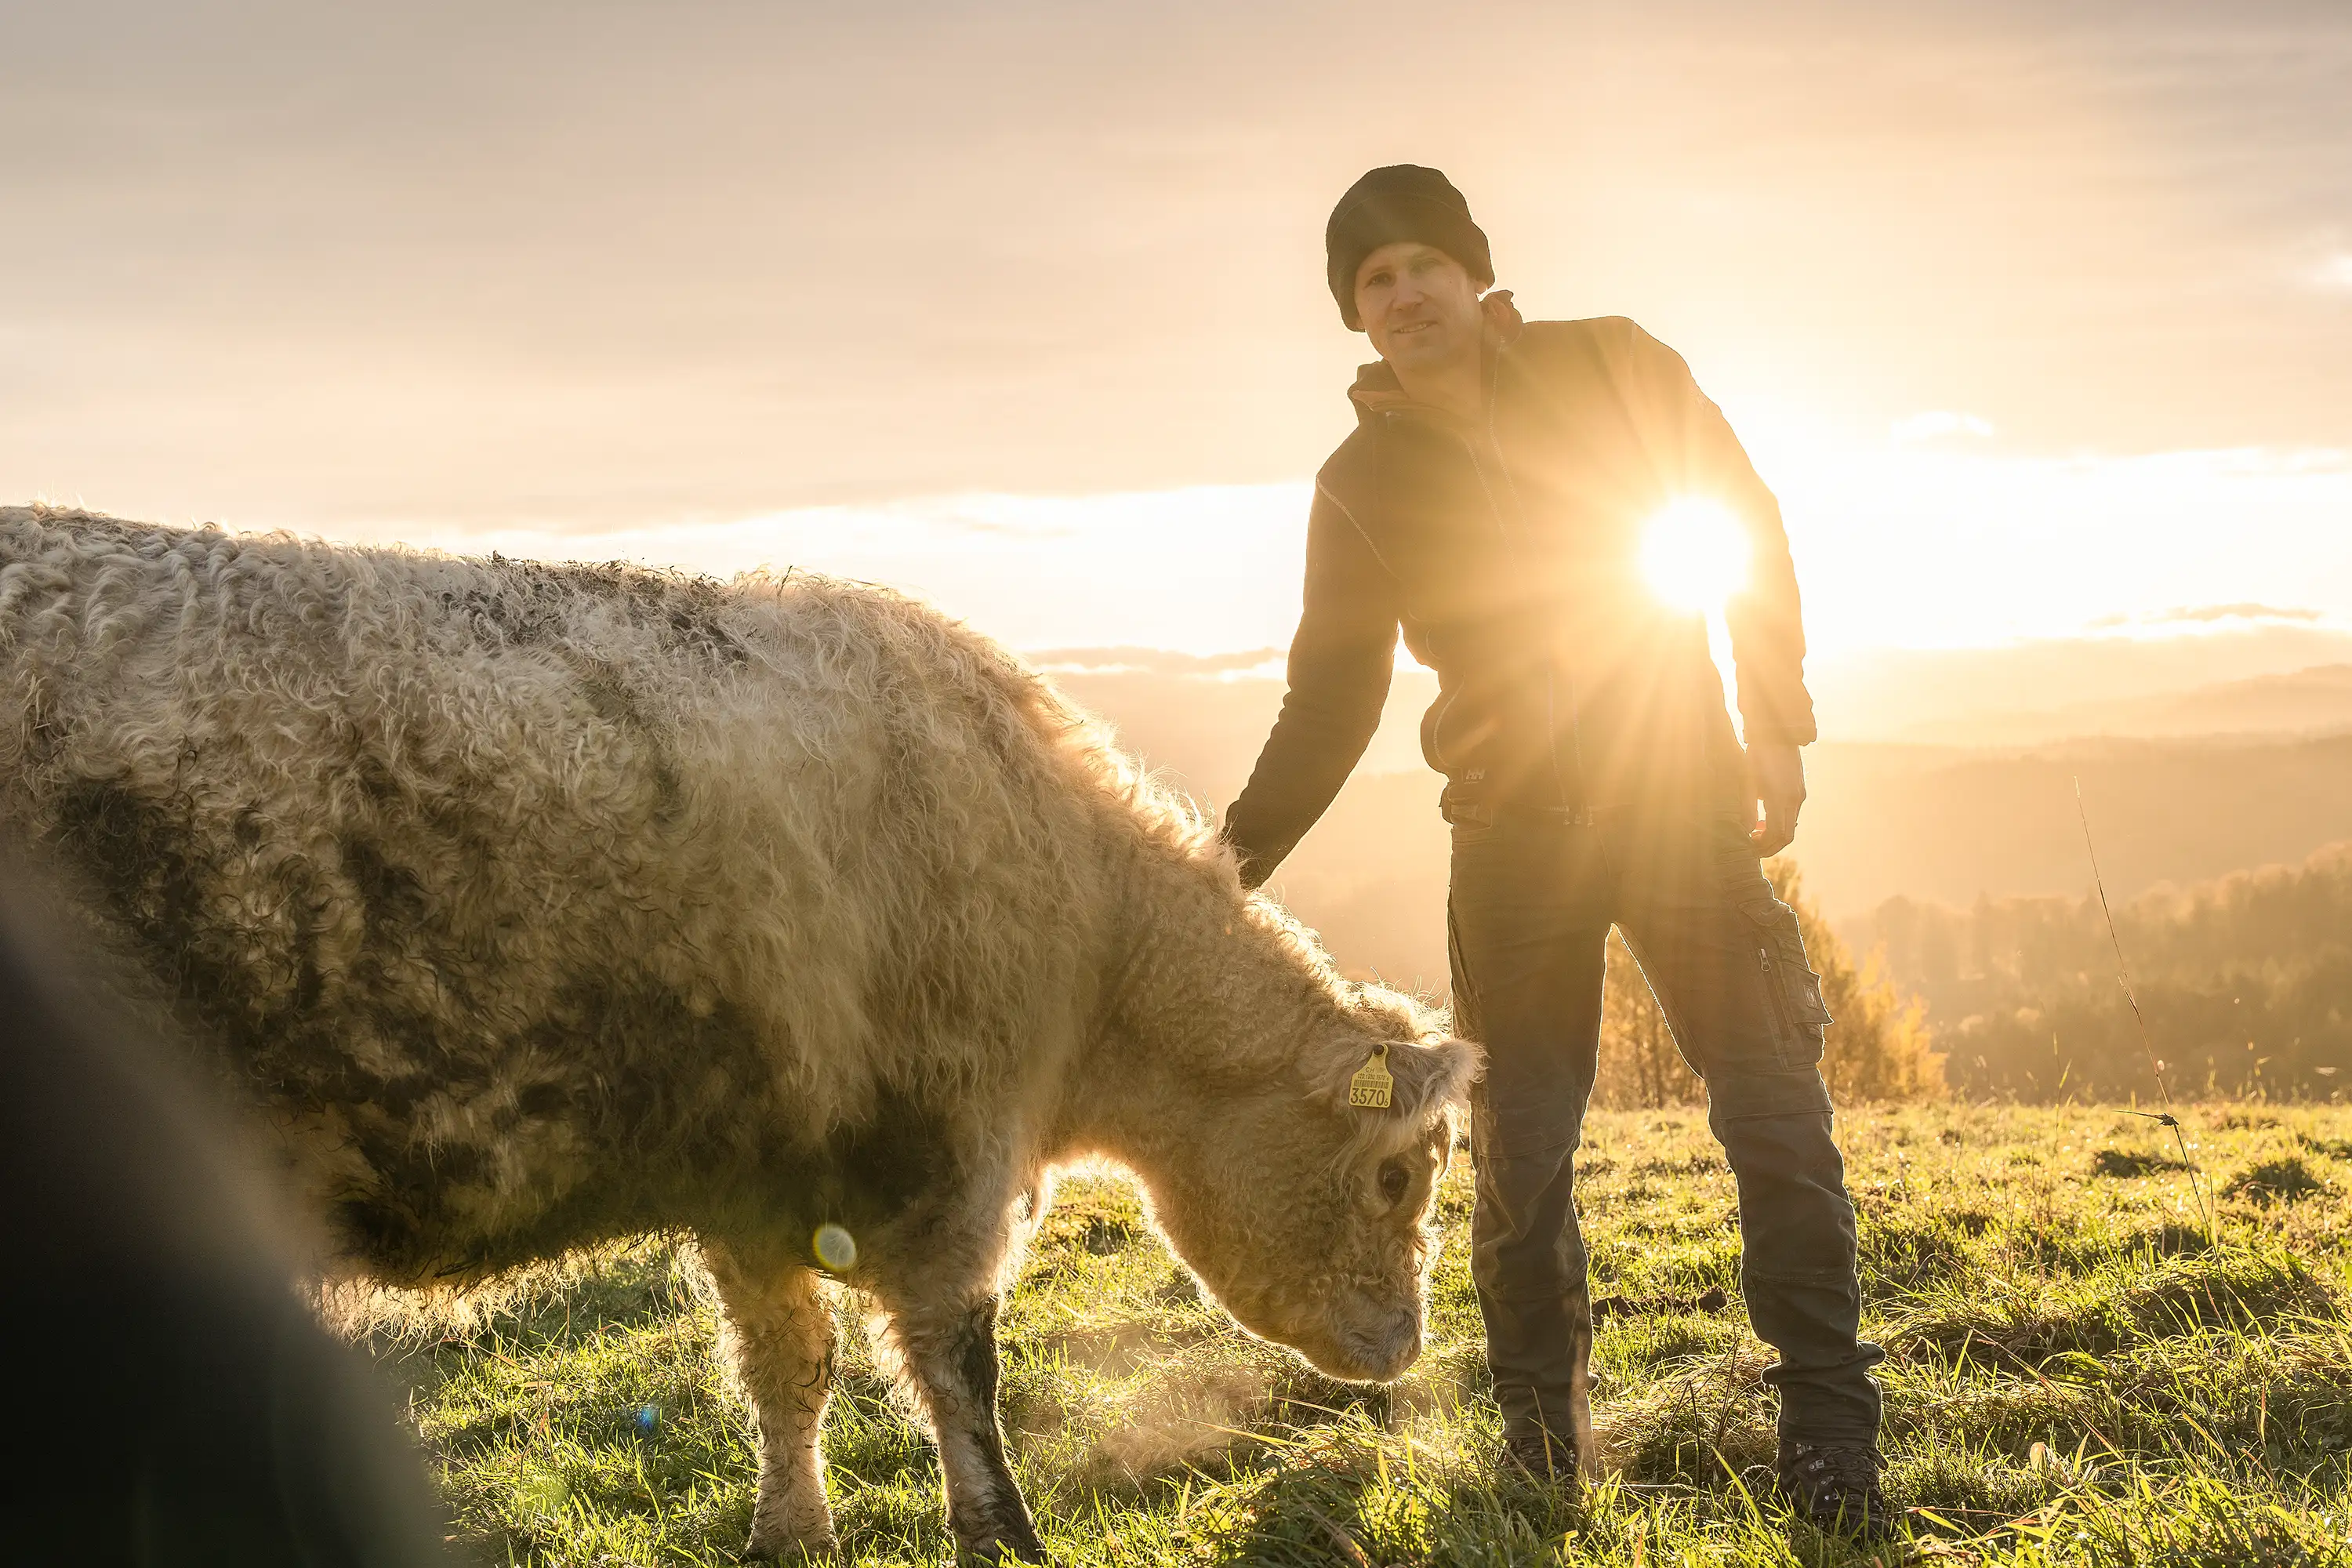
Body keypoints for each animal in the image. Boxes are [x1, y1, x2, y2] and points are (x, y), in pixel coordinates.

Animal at [0, 510, 1468, 1561]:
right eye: (1397, 1173)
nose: (1406, 1347)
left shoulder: (761, 1178)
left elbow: (789, 1372)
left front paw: (792, 1532)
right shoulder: (945, 1162)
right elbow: (959, 1375)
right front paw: (1002, 1535)